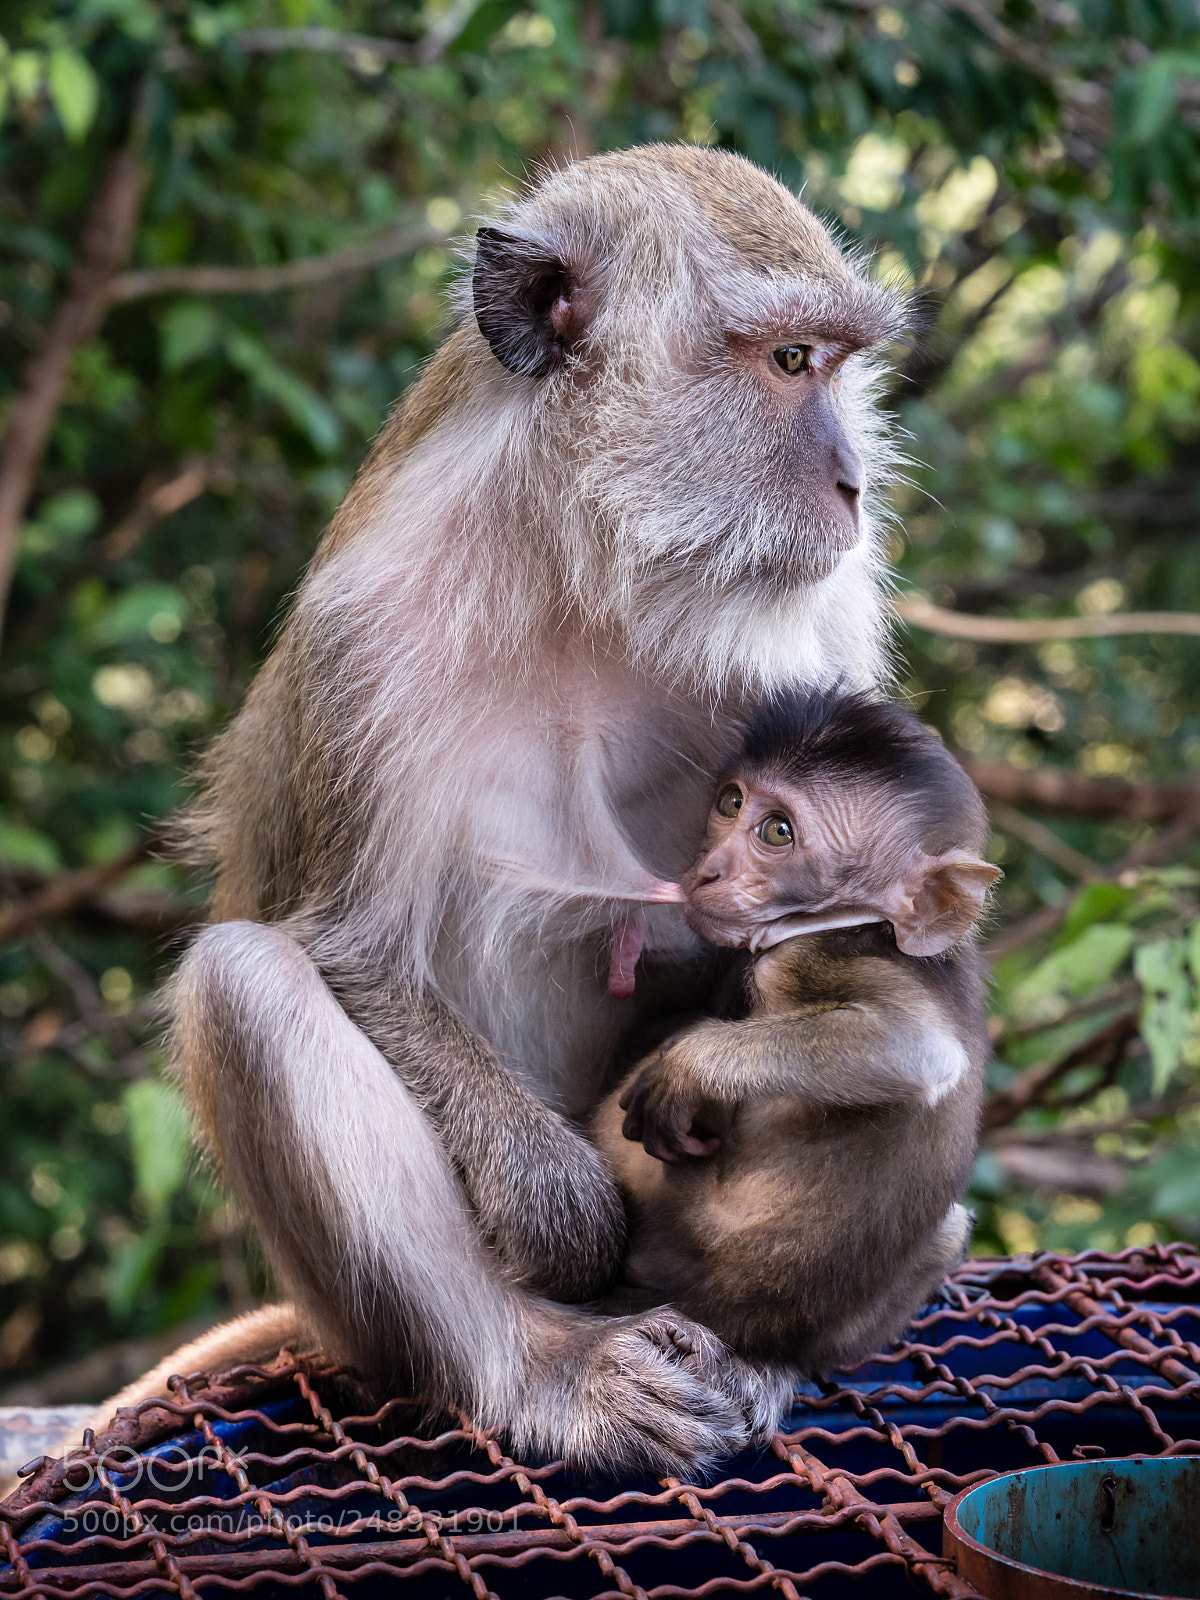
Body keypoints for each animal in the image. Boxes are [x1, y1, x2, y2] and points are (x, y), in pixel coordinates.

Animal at [159, 145, 909, 1478]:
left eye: (835, 363)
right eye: (788, 361)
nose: (853, 487)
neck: (584, 562)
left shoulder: (818, 636)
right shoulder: (363, 638)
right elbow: (342, 940)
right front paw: (552, 1202)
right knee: (245, 983)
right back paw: (543, 1367)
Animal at [593, 689, 999, 1374]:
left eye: (777, 832)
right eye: (732, 803)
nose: (707, 871)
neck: (853, 921)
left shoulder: (808, 957)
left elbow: (919, 1049)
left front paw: (690, 1064)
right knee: (948, 1231)